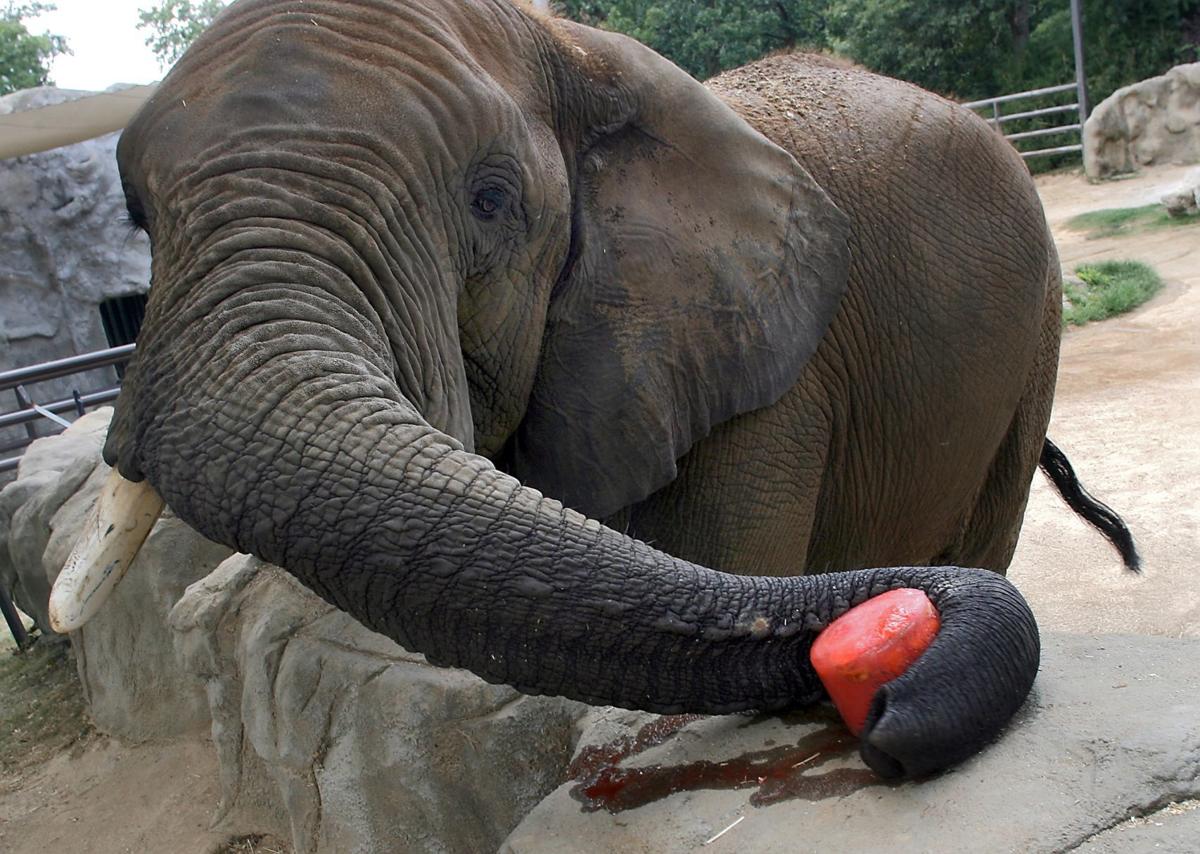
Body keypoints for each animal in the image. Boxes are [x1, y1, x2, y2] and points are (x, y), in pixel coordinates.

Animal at [70, 0, 1136, 780]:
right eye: (136, 214)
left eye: (491, 202)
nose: (882, 712)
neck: (576, 46)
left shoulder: (759, 379)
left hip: (1036, 326)